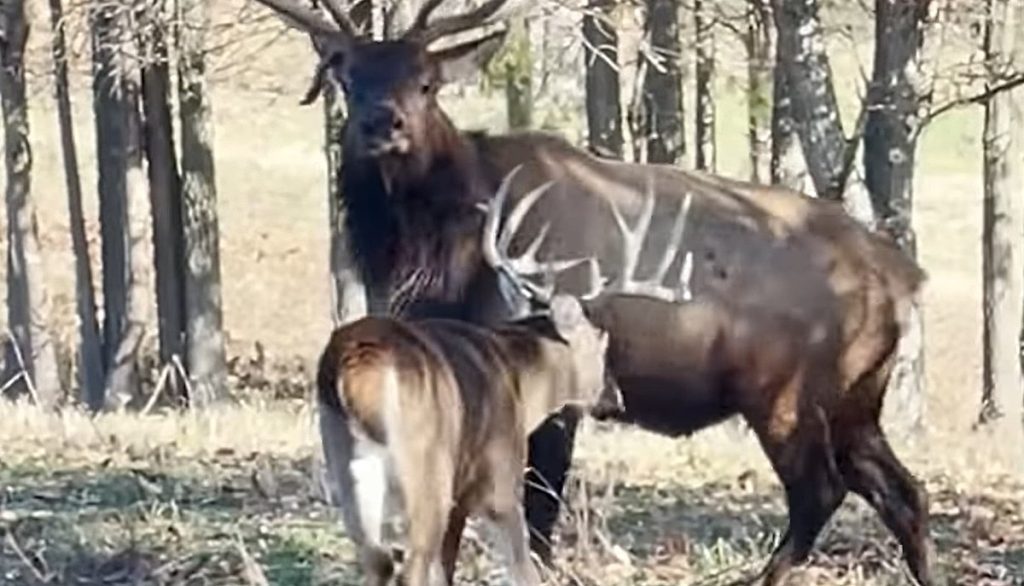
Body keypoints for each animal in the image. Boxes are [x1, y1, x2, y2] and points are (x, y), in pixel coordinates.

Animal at [253, 1, 935, 584]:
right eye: (347, 76)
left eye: (427, 82)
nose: (382, 123)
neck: (438, 254)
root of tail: (904, 276)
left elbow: (538, 514)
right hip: (856, 398)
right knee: (904, 493)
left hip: (786, 392)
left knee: (821, 491)